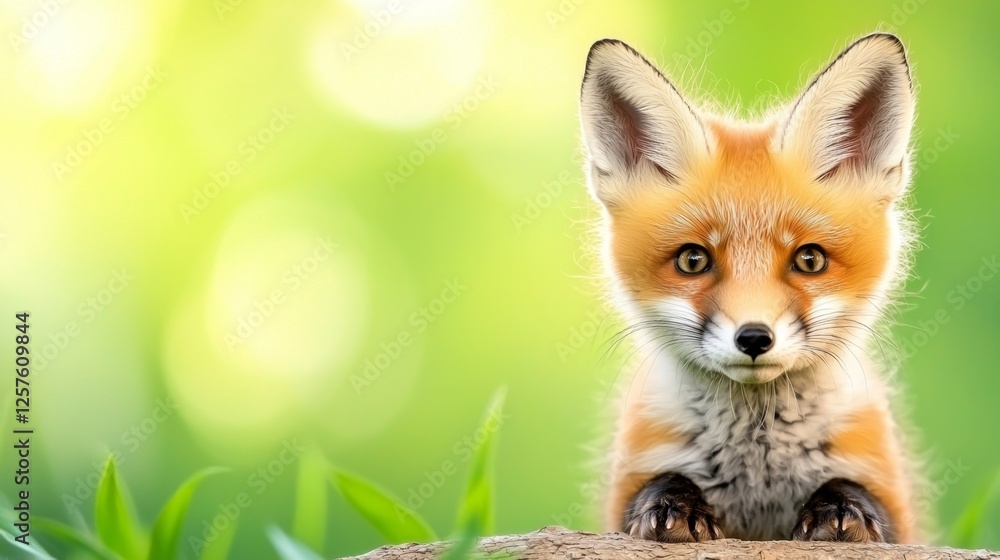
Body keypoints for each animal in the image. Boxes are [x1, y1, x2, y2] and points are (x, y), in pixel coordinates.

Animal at [579, 33, 924, 543]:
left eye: (809, 260)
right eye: (693, 260)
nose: (755, 338)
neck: (757, 452)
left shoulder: (885, 483)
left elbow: (858, 494)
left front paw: (841, 507)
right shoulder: (632, 477)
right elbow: (659, 485)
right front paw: (672, 502)